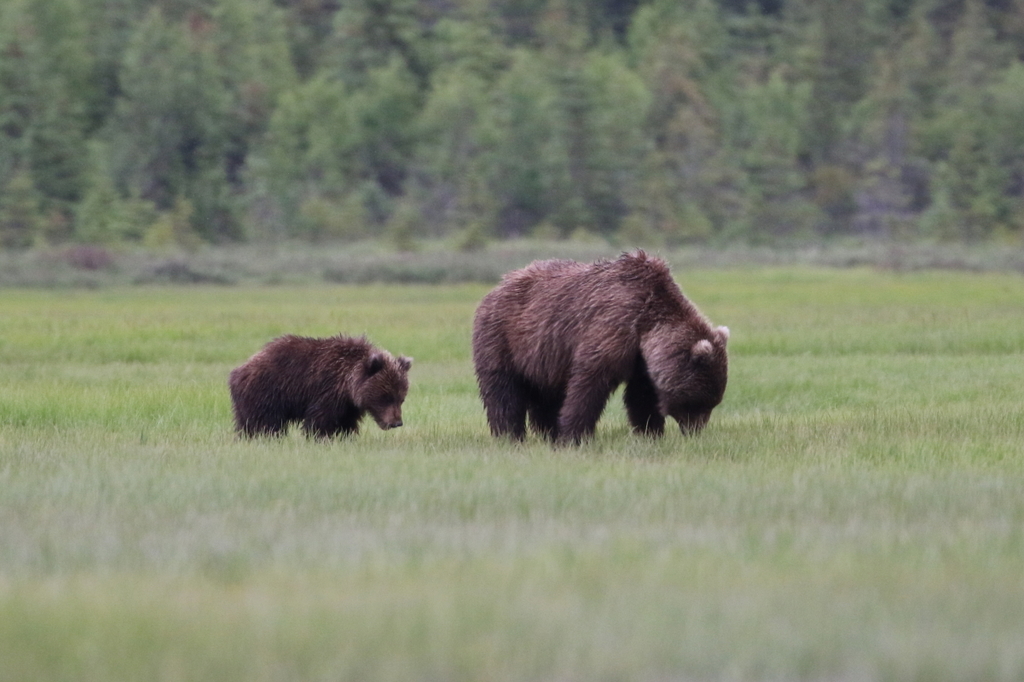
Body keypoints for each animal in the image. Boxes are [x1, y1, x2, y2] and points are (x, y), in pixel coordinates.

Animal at [229, 333, 411, 438]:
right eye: (385, 397)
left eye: (401, 398)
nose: (396, 422)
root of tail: (240, 369)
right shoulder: (326, 389)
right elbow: (321, 420)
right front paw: (322, 437)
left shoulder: (348, 404)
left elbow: (346, 422)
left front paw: (344, 436)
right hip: (267, 392)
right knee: (263, 422)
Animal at [471, 251, 729, 444]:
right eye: (698, 401)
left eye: (713, 401)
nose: (695, 431)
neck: (646, 323)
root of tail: (496, 287)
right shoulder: (612, 326)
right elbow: (589, 383)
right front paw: (574, 436)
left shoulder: (640, 357)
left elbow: (642, 395)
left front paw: (650, 433)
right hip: (503, 337)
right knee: (503, 390)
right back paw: (510, 435)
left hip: (543, 355)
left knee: (546, 395)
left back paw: (548, 432)